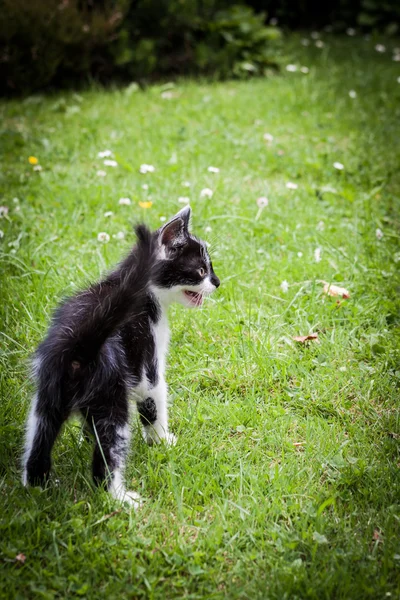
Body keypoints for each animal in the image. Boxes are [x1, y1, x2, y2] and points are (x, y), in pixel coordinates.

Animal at [21, 206, 219, 506]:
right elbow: (154, 399)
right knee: (108, 453)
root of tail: (80, 342)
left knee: (40, 436)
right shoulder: (147, 358)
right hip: (111, 396)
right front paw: (162, 440)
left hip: (48, 394)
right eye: (201, 270)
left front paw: (85, 437)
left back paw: (36, 486)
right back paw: (120, 498)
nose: (217, 283)